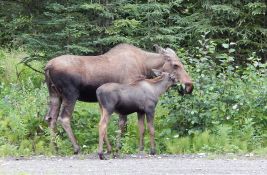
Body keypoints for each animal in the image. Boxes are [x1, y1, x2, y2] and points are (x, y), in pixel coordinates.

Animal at [44, 43, 195, 153]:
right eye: (176, 65)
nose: (189, 85)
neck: (144, 66)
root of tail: (47, 66)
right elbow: (123, 123)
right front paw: (119, 146)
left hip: (55, 95)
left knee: (51, 118)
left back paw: (54, 148)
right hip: (70, 94)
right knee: (64, 118)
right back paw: (76, 148)